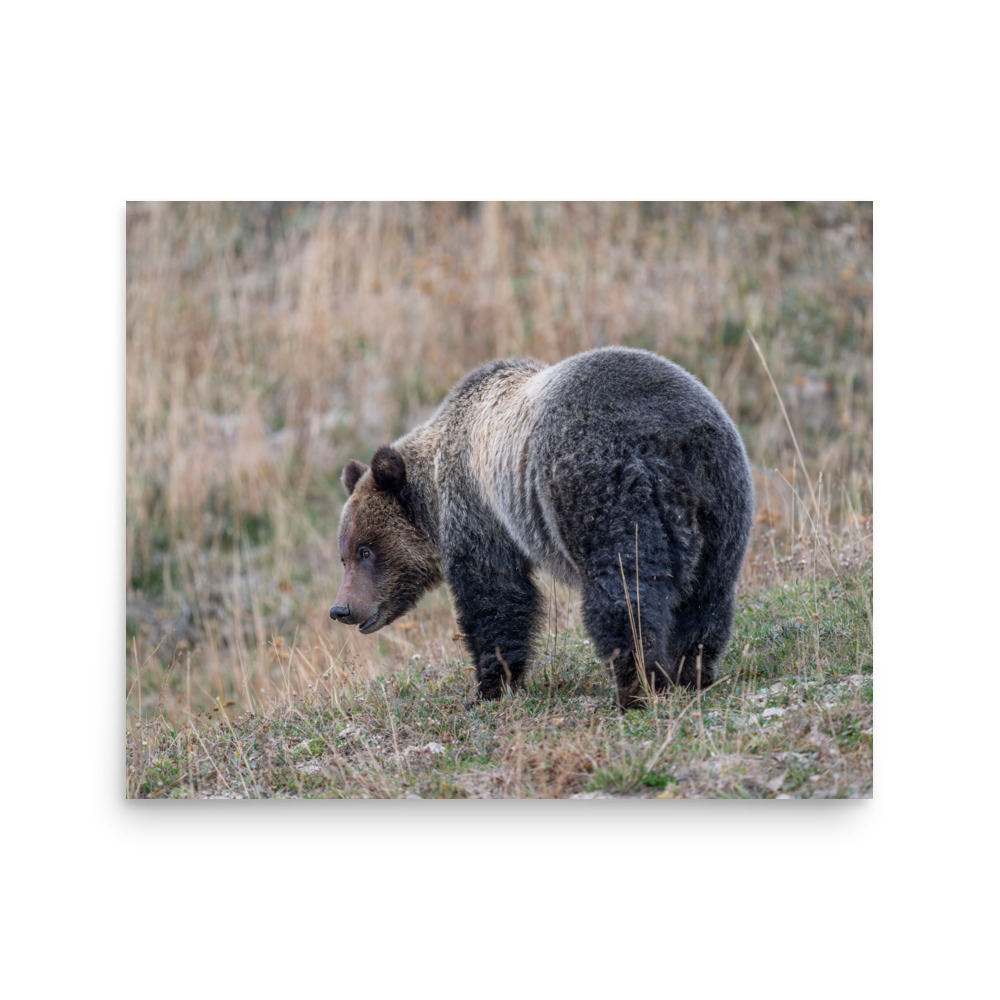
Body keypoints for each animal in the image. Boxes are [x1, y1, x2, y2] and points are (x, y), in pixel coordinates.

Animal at [330, 346, 754, 709]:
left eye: (366, 550)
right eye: (344, 556)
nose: (341, 609)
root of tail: (671, 440)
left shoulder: (479, 511)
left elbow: (495, 597)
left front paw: (489, 687)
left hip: (602, 488)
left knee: (625, 592)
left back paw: (636, 687)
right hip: (722, 500)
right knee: (707, 595)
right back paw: (691, 672)